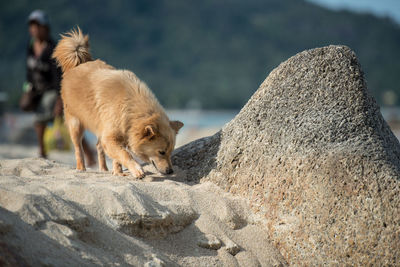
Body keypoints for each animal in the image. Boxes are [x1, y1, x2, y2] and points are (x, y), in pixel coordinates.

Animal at [53, 27, 184, 179]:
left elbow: (117, 156)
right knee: (78, 147)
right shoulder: (111, 136)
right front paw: (136, 170)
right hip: (75, 123)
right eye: (161, 152)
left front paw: (118, 172)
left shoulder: (116, 135)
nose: (170, 171)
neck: (131, 108)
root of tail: (79, 63)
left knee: (98, 147)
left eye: (170, 151)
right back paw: (81, 168)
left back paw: (104, 169)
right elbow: (125, 154)